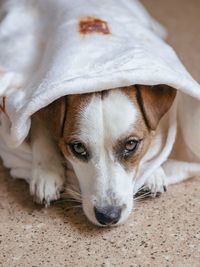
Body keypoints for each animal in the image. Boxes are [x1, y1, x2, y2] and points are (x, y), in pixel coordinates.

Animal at [29, 84, 175, 226]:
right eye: (78, 147)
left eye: (130, 144)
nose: (108, 216)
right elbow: (41, 131)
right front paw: (46, 173)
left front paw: (153, 171)